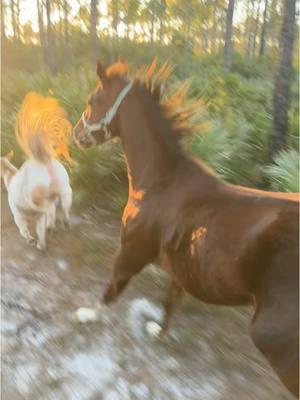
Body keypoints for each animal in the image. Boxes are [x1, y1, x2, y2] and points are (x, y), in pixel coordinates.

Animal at [1, 93, 73, 250]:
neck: (11, 176)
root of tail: (43, 160)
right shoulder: (38, 218)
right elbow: (40, 231)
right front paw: (41, 244)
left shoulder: (18, 216)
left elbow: (24, 230)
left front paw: (31, 240)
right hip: (65, 193)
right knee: (63, 211)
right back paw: (62, 224)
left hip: (36, 198)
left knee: (49, 209)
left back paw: (51, 225)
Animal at [73, 60, 300, 396]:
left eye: (92, 100)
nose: (76, 133)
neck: (161, 182)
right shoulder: (178, 265)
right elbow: (171, 301)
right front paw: (157, 330)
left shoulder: (131, 251)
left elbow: (113, 287)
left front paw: (87, 314)